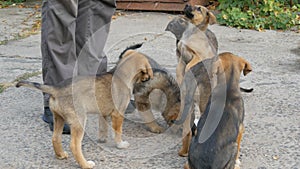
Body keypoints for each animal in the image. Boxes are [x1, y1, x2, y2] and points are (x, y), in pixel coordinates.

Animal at [15, 45, 154, 169]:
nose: (150, 79)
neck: (121, 75)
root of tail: (56, 89)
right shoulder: (118, 114)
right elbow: (118, 132)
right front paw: (120, 144)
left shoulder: (103, 113)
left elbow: (103, 128)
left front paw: (102, 140)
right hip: (79, 121)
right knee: (74, 145)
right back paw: (85, 164)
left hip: (59, 118)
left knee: (55, 138)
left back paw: (61, 155)